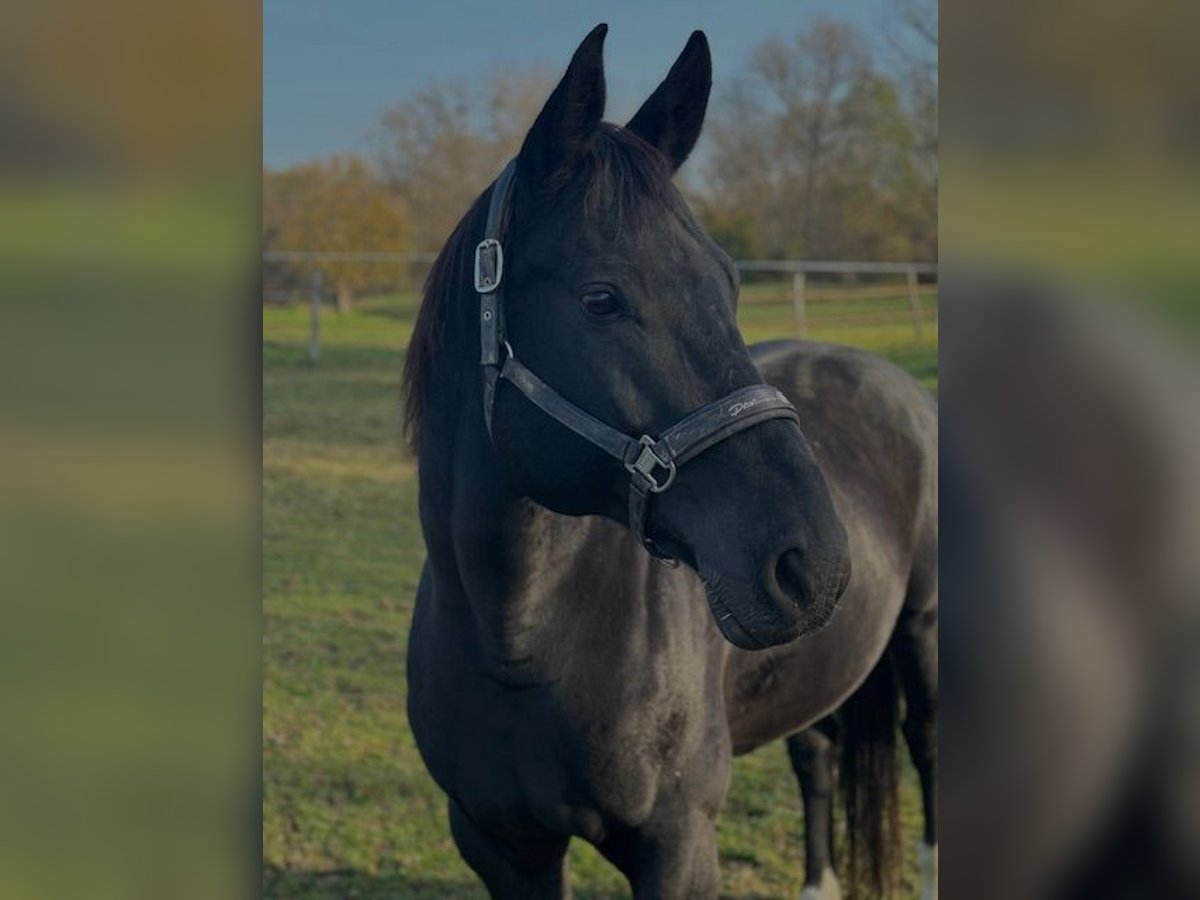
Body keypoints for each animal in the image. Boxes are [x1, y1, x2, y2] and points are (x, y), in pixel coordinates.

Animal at [403, 24, 936, 897]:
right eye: (600, 299)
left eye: (729, 282)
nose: (814, 561)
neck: (517, 640)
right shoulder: (500, 846)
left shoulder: (678, 848)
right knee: (816, 756)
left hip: (923, 635)